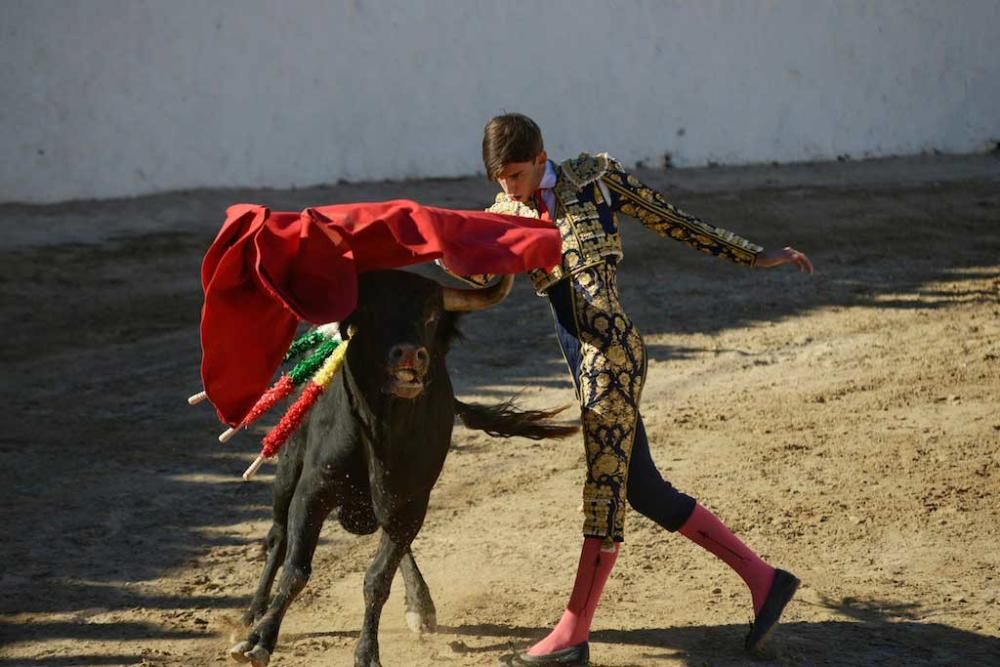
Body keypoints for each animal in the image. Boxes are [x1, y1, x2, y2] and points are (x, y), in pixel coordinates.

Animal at [230, 272, 580, 667]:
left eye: (431, 317)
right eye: (371, 312)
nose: (411, 354)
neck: (382, 431)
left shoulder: (410, 503)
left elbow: (377, 578)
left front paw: (368, 652)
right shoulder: (312, 492)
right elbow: (296, 569)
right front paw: (259, 640)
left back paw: (420, 606)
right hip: (289, 464)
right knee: (277, 534)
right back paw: (253, 612)